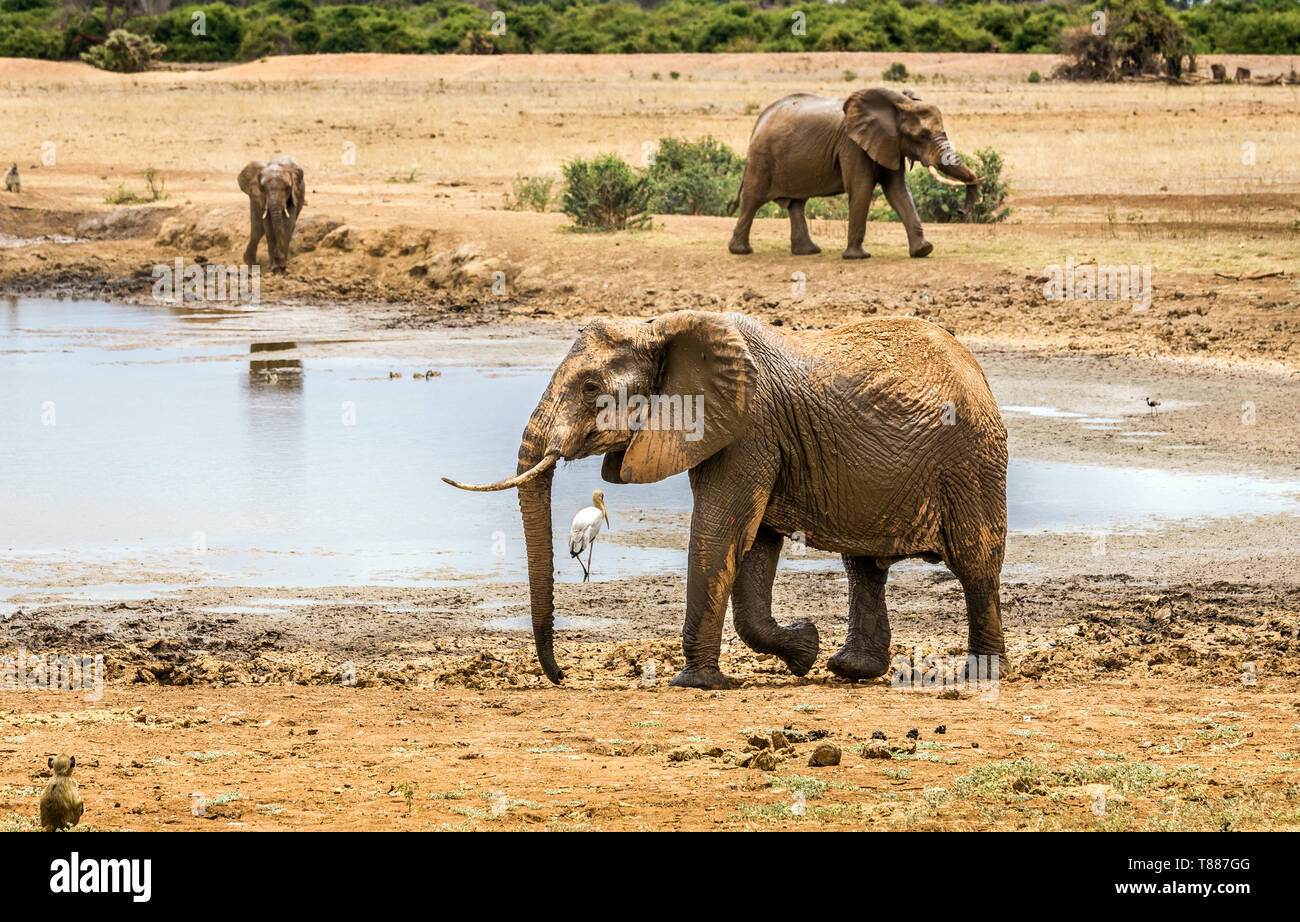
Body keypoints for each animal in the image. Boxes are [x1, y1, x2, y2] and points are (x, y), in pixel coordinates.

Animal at [441, 310, 1008, 691]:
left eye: (589, 388)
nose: (561, 676)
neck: (660, 331)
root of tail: (977, 369)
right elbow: (754, 545)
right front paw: (803, 650)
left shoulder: (749, 426)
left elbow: (721, 530)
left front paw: (693, 683)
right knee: (864, 566)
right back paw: (849, 670)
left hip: (972, 461)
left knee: (976, 565)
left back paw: (979, 673)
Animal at [722, 87, 982, 258]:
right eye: (922, 136)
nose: (960, 211)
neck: (898, 104)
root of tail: (759, 120)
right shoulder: (852, 144)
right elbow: (861, 188)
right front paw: (858, 256)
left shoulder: (890, 143)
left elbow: (898, 192)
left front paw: (923, 250)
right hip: (761, 157)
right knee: (753, 200)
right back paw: (741, 251)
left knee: (797, 204)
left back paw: (808, 252)